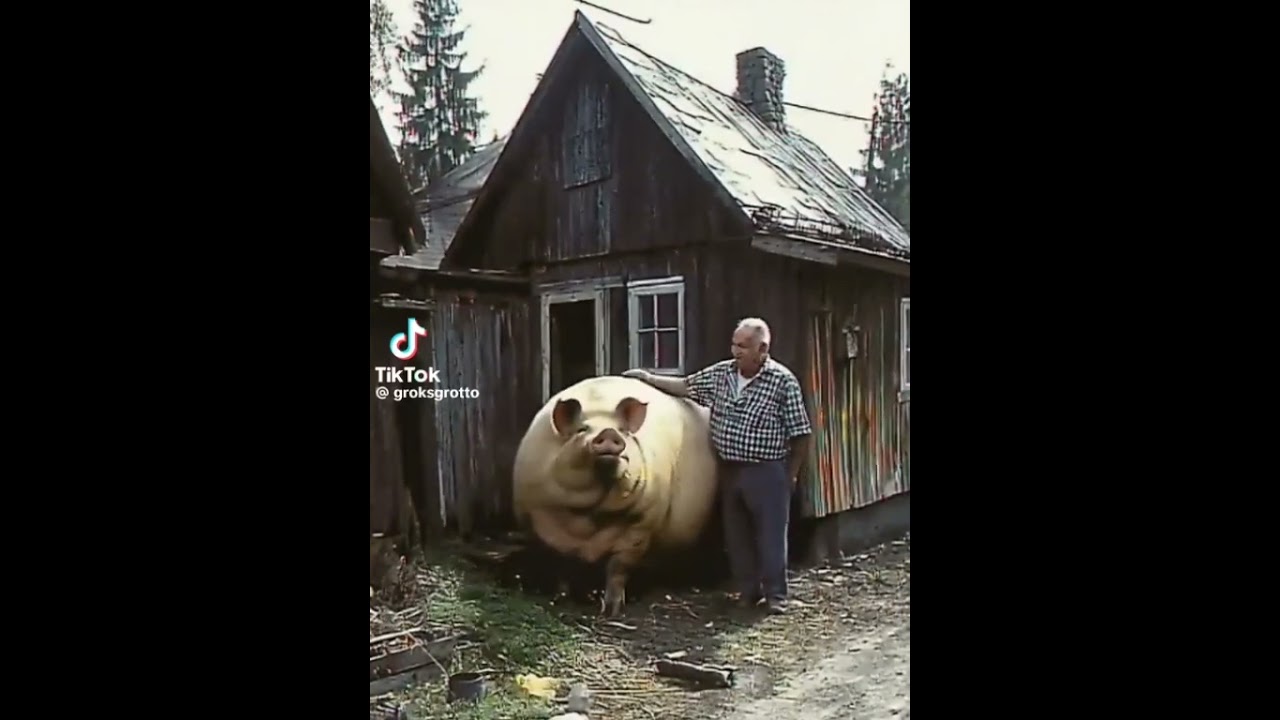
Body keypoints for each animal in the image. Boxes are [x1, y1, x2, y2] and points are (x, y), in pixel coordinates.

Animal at [512, 375, 719, 617]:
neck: (590, 517)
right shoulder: (541, 522)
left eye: (622, 430)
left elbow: (618, 566)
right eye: (582, 429)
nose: (609, 433)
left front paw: (612, 610)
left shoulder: (641, 526)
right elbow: (561, 565)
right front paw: (560, 599)